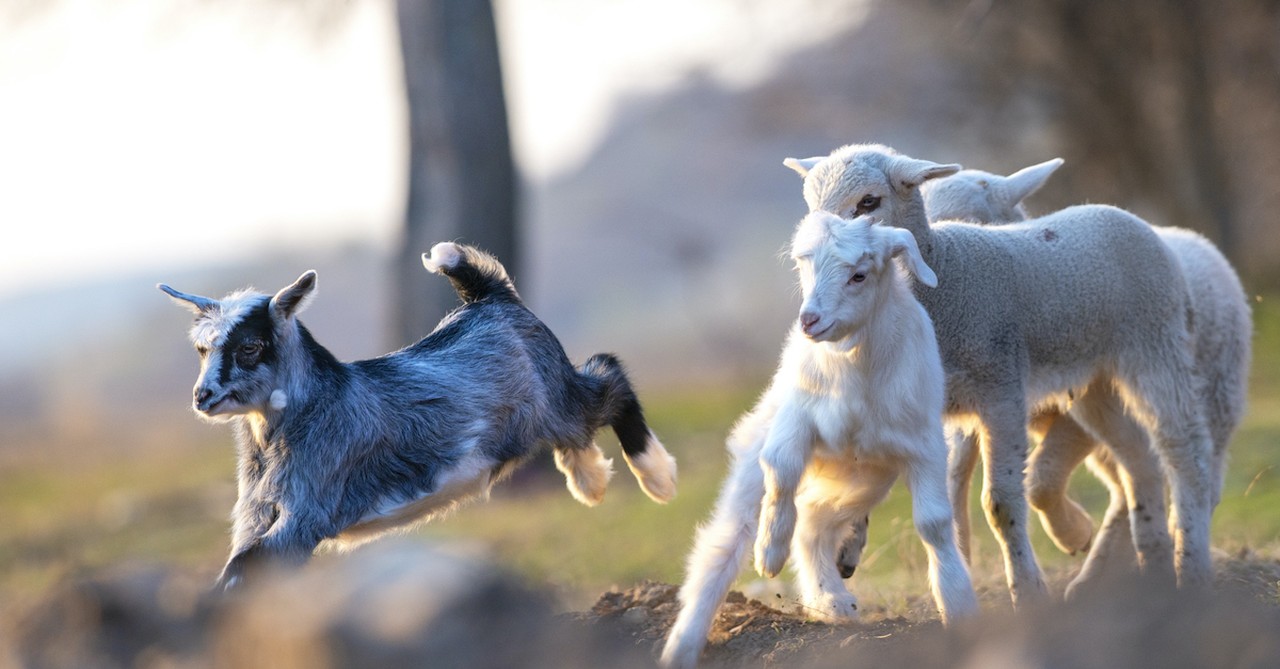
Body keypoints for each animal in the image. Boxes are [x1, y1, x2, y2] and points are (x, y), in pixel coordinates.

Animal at [161, 243, 680, 588]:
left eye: (250, 347)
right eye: (202, 349)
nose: (203, 397)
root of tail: (489, 299)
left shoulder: (308, 510)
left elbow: (241, 572)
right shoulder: (256, 515)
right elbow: (241, 567)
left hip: (556, 398)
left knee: (609, 377)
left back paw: (656, 477)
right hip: (550, 410)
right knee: (581, 428)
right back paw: (590, 480)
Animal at [660, 212, 977, 669]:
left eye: (859, 275)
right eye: (804, 268)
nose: (809, 319)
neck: (854, 369)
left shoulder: (923, 445)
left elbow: (934, 524)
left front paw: (959, 604)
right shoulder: (796, 421)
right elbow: (781, 467)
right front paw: (769, 553)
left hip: (863, 478)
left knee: (813, 523)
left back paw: (833, 601)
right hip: (768, 454)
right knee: (726, 542)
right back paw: (684, 645)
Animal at [783, 143, 1213, 603]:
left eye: (868, 202)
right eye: (810, 204)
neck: (946, 276)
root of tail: (1127, 217)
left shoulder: (1001, 391)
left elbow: (1000, 502)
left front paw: (1027, 591)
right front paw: (848, 547)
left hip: (1156, 346)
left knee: (1184, 450)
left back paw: (1191, 566)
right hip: (1095, 380)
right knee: (1139, 459)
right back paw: (1154, 567)